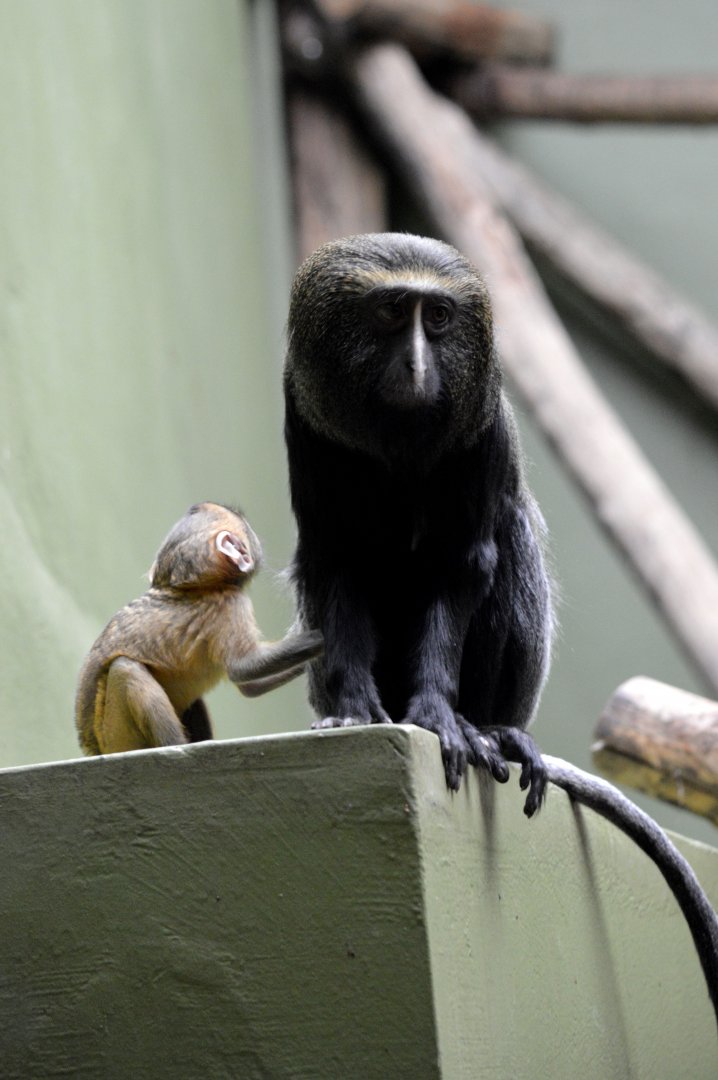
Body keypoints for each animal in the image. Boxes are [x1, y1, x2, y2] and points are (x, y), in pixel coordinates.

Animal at [75, 502, 323, 756]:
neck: (194, 585)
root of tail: (98, 749)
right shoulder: (230, 603)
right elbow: (243, 668)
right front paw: (321, 637)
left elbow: (248, 686)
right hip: (118, 736)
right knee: (125, 667)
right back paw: (176, 747)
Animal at [283, 233, 718, 1028]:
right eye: (391, 312)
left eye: (438, 318)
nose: (418, 365)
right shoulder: (305, 414)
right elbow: (334, 562)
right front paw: (357, 713)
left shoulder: (483, 425)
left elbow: (467, 558)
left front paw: (435, 718)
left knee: (510, 527)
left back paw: (491, 731)